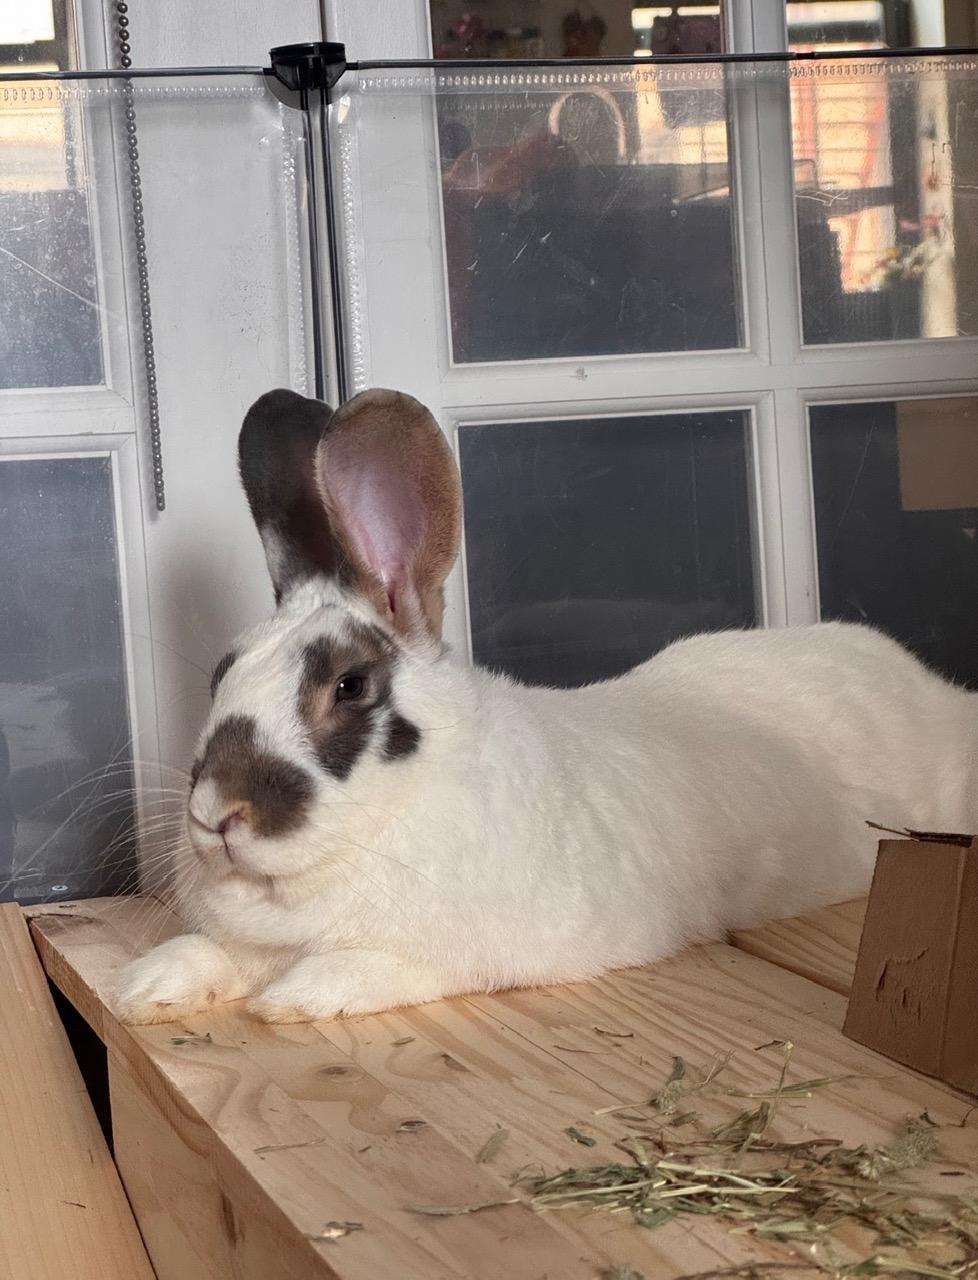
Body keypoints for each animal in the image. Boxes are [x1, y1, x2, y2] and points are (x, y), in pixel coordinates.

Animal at [116, 387, 978, 1025]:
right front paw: (146, 985)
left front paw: (295, 998)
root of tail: (937, 691)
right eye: (221, 671)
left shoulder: (457, 951)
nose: (217, 814)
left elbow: (374, 966)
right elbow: (210, 954)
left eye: (351, 686)